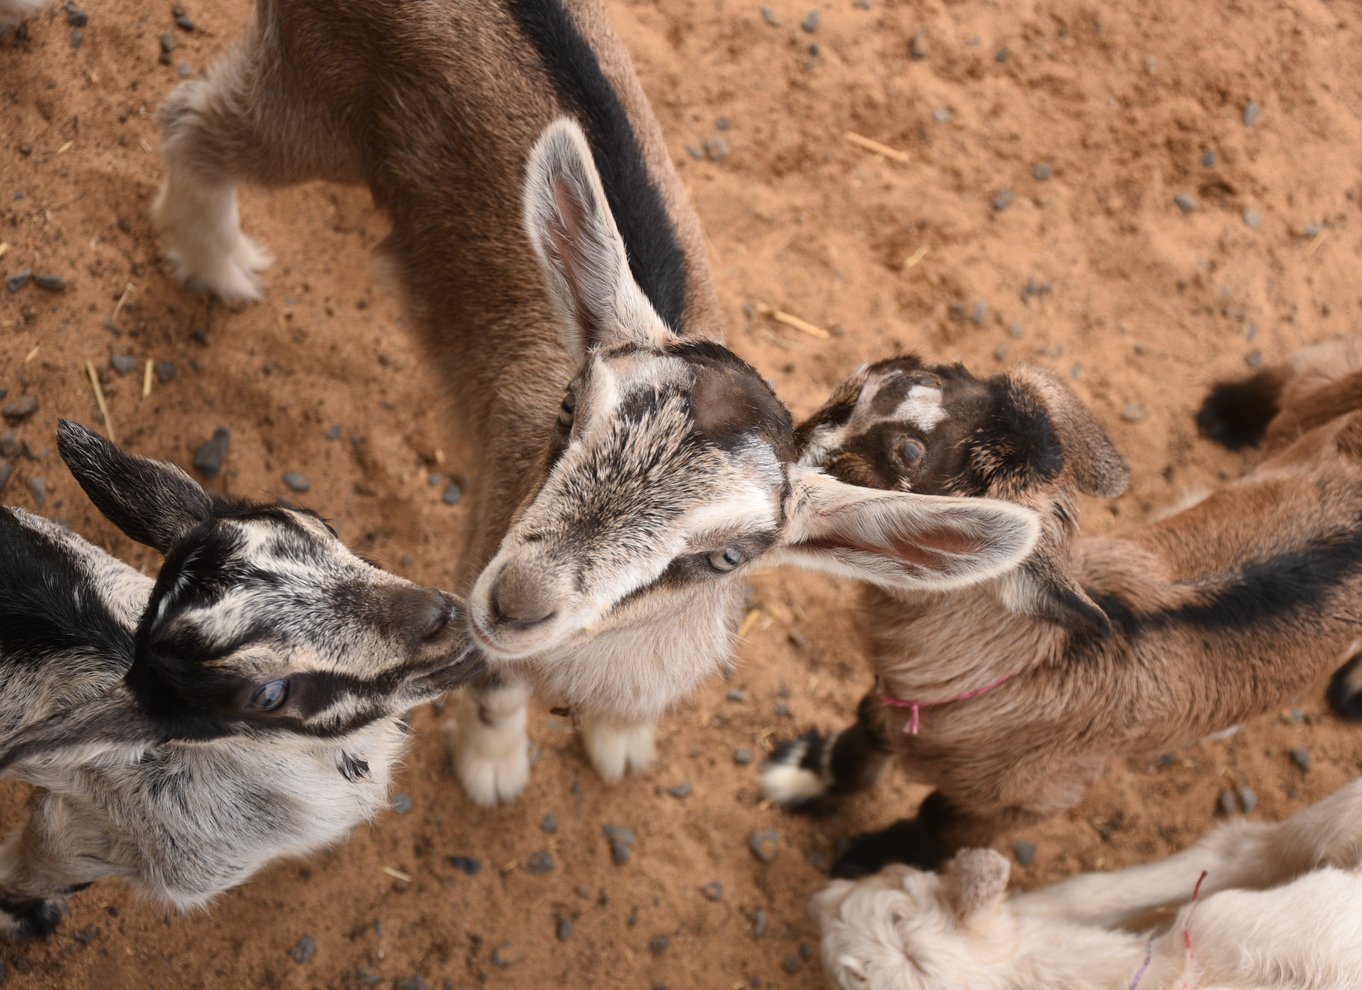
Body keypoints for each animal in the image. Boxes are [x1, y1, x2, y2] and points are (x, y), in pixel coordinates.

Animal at [0, 422, 484, 942]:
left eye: (322, 526)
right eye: (268, 694)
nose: (446, 620)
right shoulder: (74, 838)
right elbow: (29, 876)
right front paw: (27, 917)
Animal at [773, 343, 1362, 876]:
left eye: (909, 453)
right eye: (937, 374)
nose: (888, 371)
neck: (1030, 665)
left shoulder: (1033, 799)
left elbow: (935, 822)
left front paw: (861, 861)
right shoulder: (889, 702)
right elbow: (861, 741)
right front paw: (799, 777)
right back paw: (1226, 414)